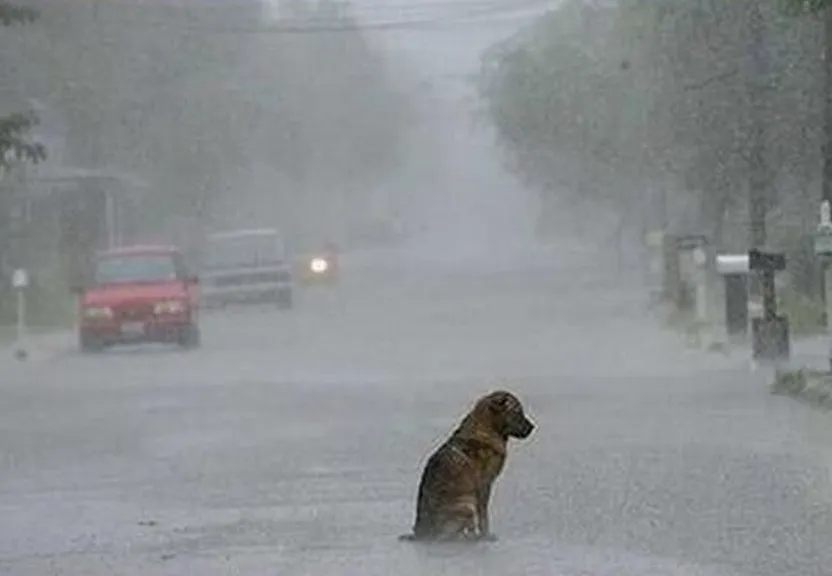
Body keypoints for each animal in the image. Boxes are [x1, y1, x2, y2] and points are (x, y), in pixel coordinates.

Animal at [400, 390, 536, 544]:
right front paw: (485, 535)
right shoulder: (484, 485)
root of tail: (420, 534)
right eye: (517, 412)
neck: (486, 429)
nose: (532, 427)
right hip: (467, 505)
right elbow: (483, 516)